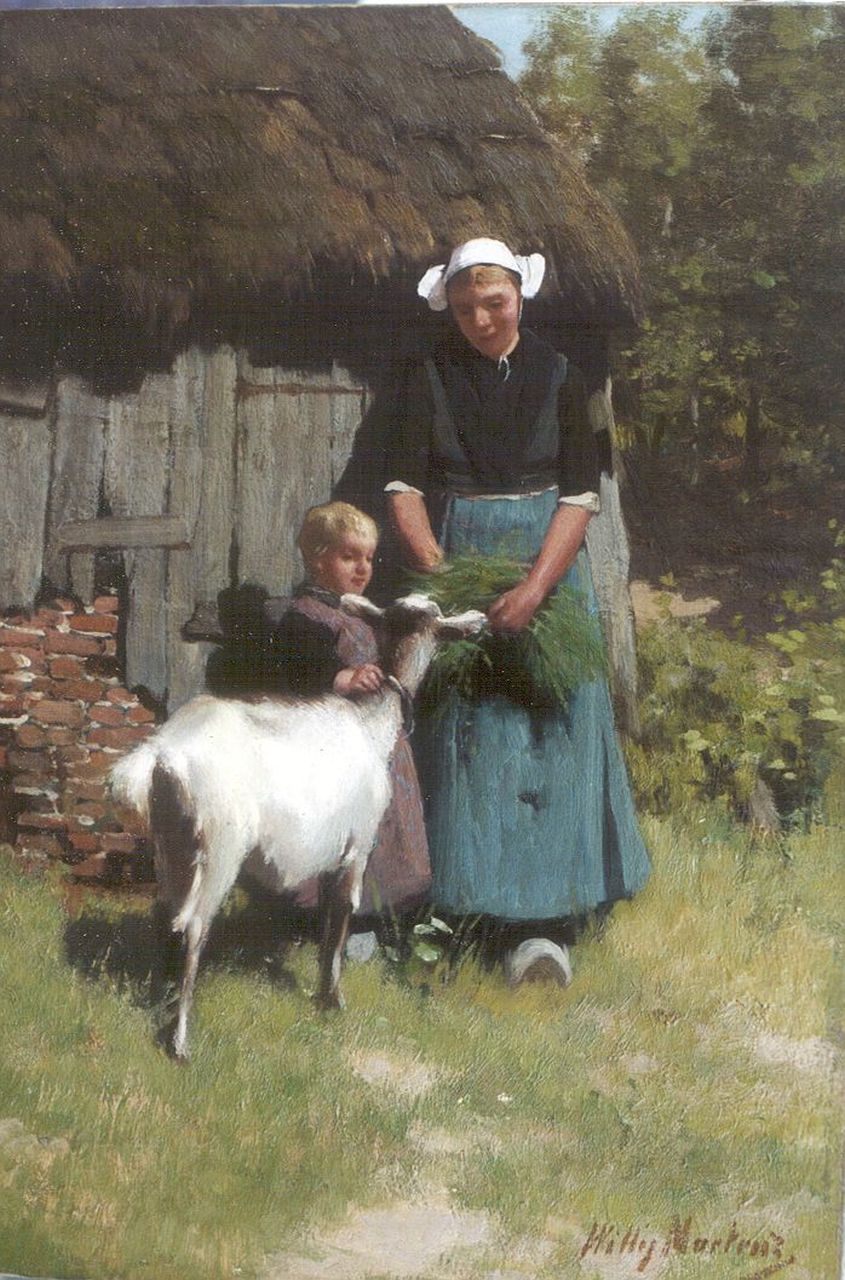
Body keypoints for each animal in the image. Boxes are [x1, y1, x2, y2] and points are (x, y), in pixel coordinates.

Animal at [108, 593, 483, 1054]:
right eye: (437, 619)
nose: (475, 621)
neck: (371, 723)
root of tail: (160, 755)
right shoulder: (359, 845)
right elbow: (344, 910)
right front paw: (334, 999)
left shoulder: (329, 848)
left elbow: (325, 915)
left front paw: (321, 993)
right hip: (219, 848)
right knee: (194, 925)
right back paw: (180, 1042)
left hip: (172, 845)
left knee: (165, 917)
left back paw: (161, 1006)